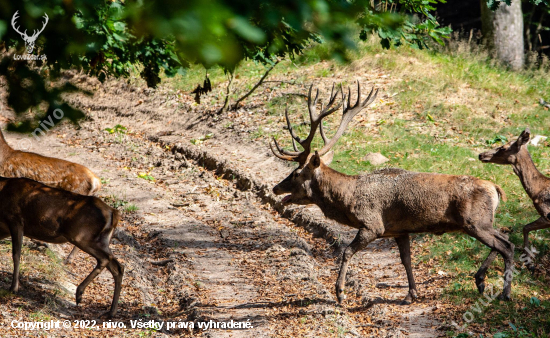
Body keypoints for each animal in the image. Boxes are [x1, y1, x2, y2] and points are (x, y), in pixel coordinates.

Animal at [0, 177, 123, 316]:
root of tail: (113, 213)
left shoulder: (15, 219)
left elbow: (16, 254)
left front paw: (13, 288)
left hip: (81, 236)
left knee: (105, 259)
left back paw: (79, 293)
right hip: (102, 240)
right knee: (117, 266)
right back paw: (111, 311)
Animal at [272, 82, 516, 304]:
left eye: (295, 173)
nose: (276, 187)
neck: (348, 200)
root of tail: (496, 189)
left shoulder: (373, 225)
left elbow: (347, 252)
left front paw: (340, 293)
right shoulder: (400, 230)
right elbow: (405, 259)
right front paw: (411, 294)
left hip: (474, 221)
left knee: (506, 246)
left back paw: (504, 293)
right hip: (482, 221)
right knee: (505, 237)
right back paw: (480, 280)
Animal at [480, 128, 548, 270]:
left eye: (503, 148)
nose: (481, 155)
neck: (536, 190)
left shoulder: (547, 213)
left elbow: (525, 228)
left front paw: (529, 263)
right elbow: (526, 227)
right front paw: (529, 262)